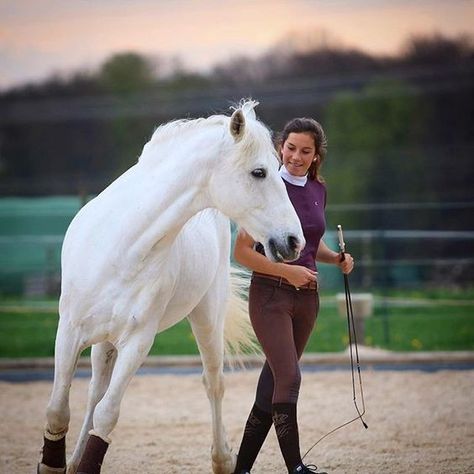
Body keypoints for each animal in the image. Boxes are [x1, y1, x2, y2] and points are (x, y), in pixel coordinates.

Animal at [37, 100, 304, 474]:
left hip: (206, 320)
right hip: (103, 341)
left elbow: (107, 415)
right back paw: (73, 461)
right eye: (259, 172)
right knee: (94, 390)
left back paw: (223, 459)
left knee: (213, 383)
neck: (122, 245)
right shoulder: (69, 332)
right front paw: (56, 464)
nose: (294, 241)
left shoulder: (137, 342)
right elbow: (59, 410)